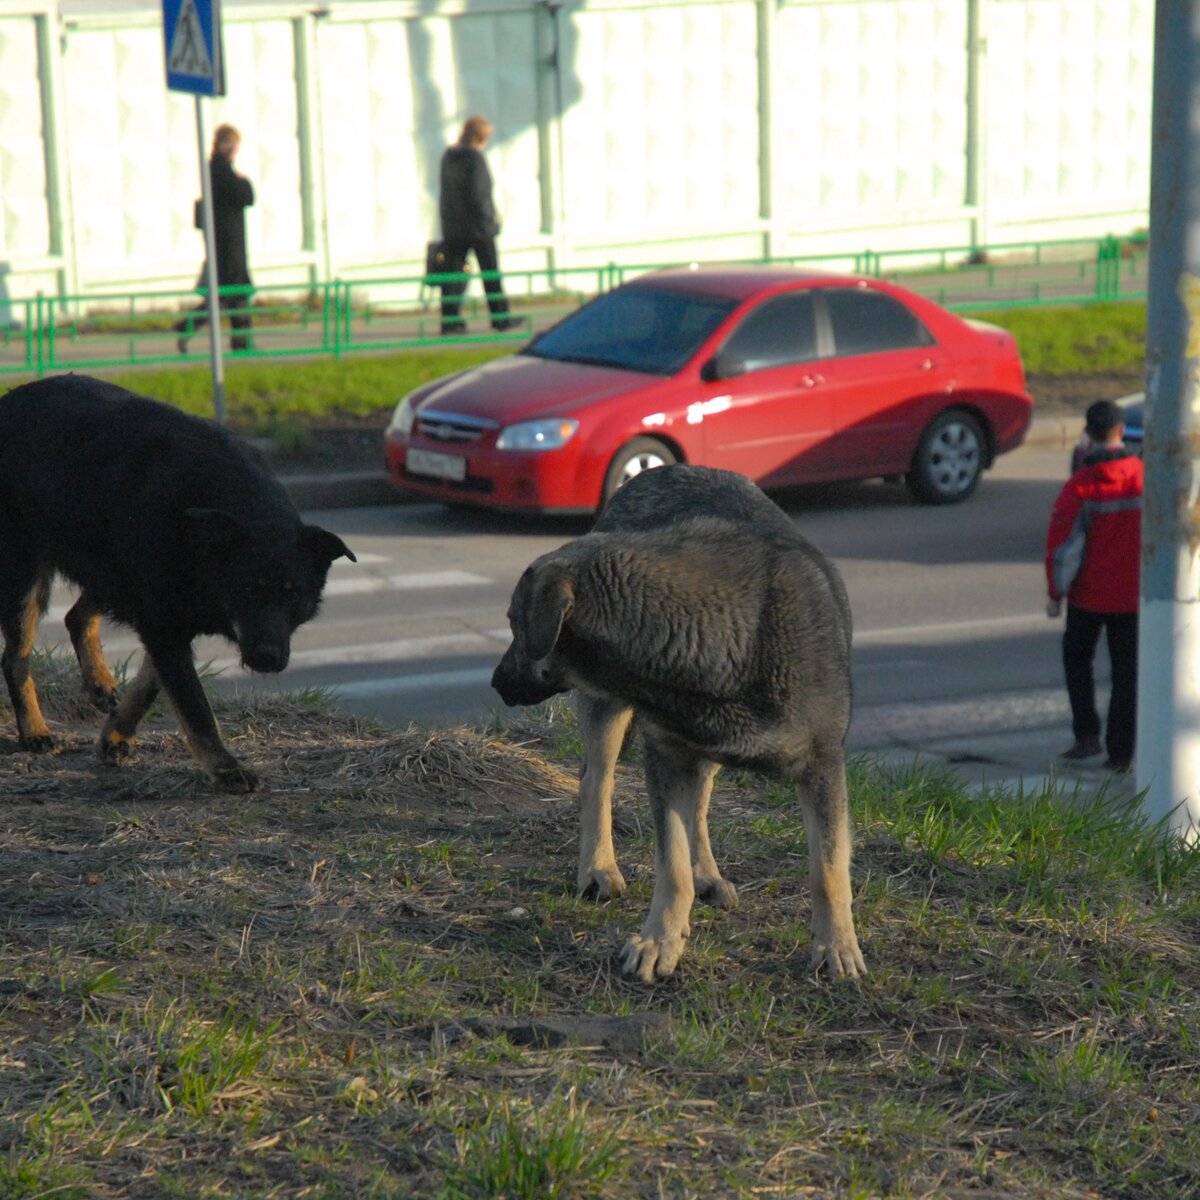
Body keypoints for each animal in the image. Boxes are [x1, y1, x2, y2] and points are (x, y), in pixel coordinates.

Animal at [0, 372, 355, 787]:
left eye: (293, 594)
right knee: (16, 657)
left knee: (76, 616)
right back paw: (34, 731)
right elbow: (194, 705)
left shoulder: (166, 618)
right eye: (247, 589)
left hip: (110, 568)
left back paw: (98, 682)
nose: (267, 658)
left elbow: (151, 686)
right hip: (28, 577)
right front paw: (226, 768)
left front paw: (118, 733)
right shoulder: (164, 622)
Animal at [487, 463, 864, 979]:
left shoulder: (822, 764)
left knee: (699, 799)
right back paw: (598, 868)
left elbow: (827, 868)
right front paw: (660, 940)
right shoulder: (664, 757)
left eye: (514, 623)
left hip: (705, 744)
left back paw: (709, 874)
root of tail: (662, 469)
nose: (496, 682)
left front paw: (836, 947)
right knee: (596, 780)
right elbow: (672, 863)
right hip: (610, 715)